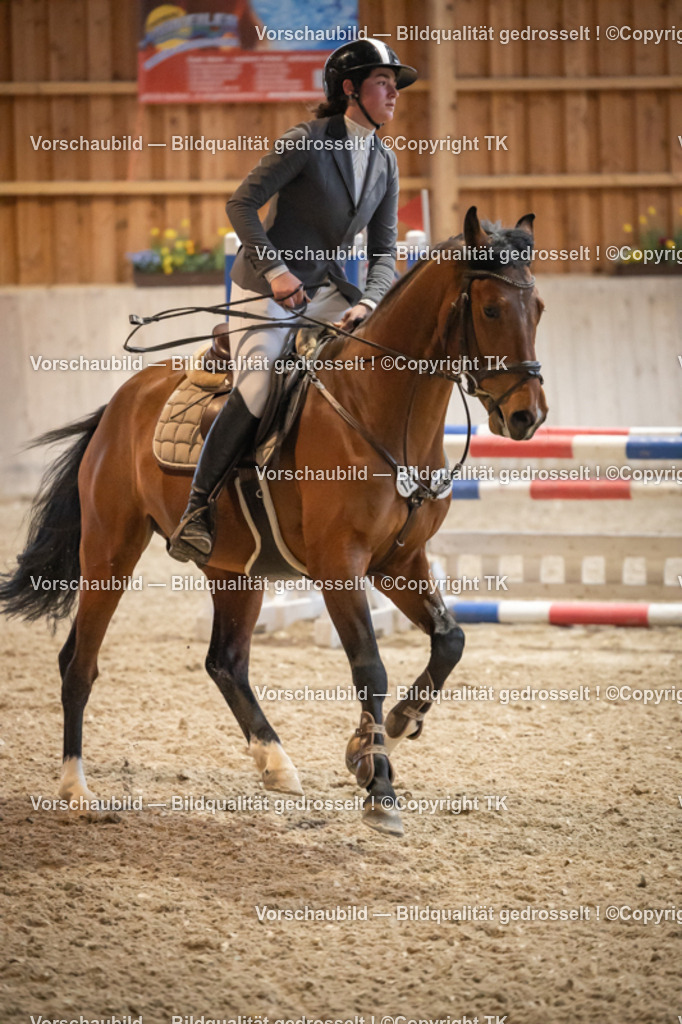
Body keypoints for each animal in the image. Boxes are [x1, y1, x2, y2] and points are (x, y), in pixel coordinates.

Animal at [0, 207, 547, 836]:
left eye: (538, 308)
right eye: (491, 309)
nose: (528, 416)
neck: (381, 408)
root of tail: (121, 400)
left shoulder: (400, 561)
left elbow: (450, 640)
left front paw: (390, 731)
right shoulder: (340, 565)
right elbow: (370, 665)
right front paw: (378, 785)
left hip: (235, 570)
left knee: (225, 662)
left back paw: (275, 762)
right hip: (110, 551)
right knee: (79, 663)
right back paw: (75, 789)